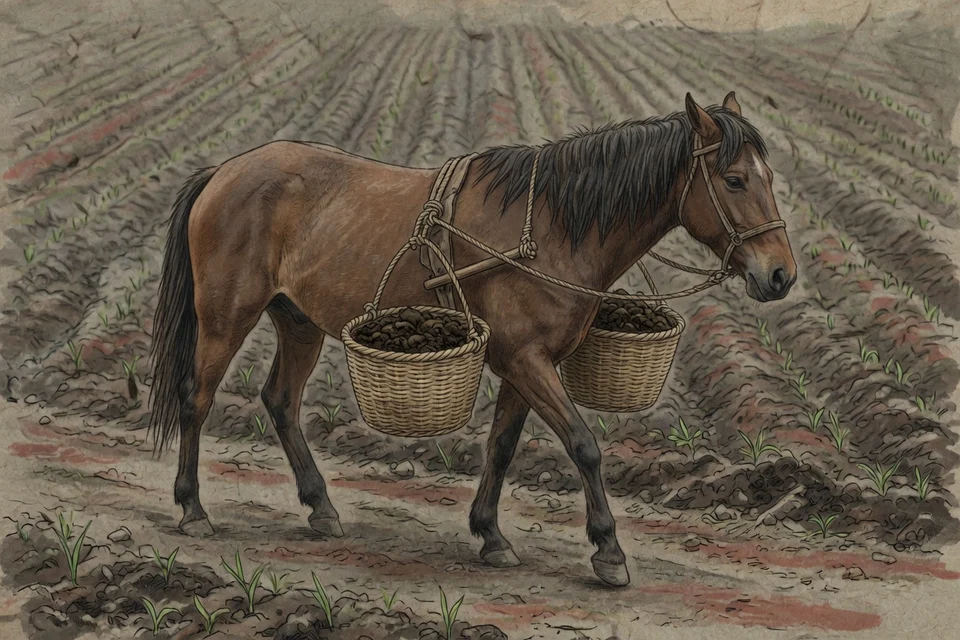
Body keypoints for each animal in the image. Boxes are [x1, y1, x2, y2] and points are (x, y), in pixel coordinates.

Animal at [149, 92, 797, 587]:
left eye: (771, 178)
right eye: (735, 179)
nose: (781, 275)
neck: (554, 227)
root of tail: (224, 172)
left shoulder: (523, 364)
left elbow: (502, 448)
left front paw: (490, 534)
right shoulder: (526, 360)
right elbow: (584, 445)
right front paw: (608, 551)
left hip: (298, 321)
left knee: (281, 401)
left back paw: (321, 508)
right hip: (226, 317)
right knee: (195, 399)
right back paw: (192, 508)